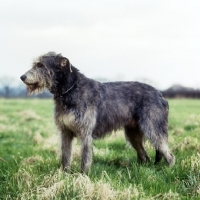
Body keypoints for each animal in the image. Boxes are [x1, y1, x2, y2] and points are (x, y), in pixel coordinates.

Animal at [20, 52, 175, 173]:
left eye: (41, 65)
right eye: (36, 64)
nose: (22, 77)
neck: (70, 89)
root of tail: (161, 95)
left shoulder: (86, 132)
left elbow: (85, 158)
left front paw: (83, 178)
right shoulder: (65, 131)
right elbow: (65, 156)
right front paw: (64, 175)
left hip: (153, 127)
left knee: (168, 153)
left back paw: (169, 172)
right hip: (133, 132)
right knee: (145, 156)